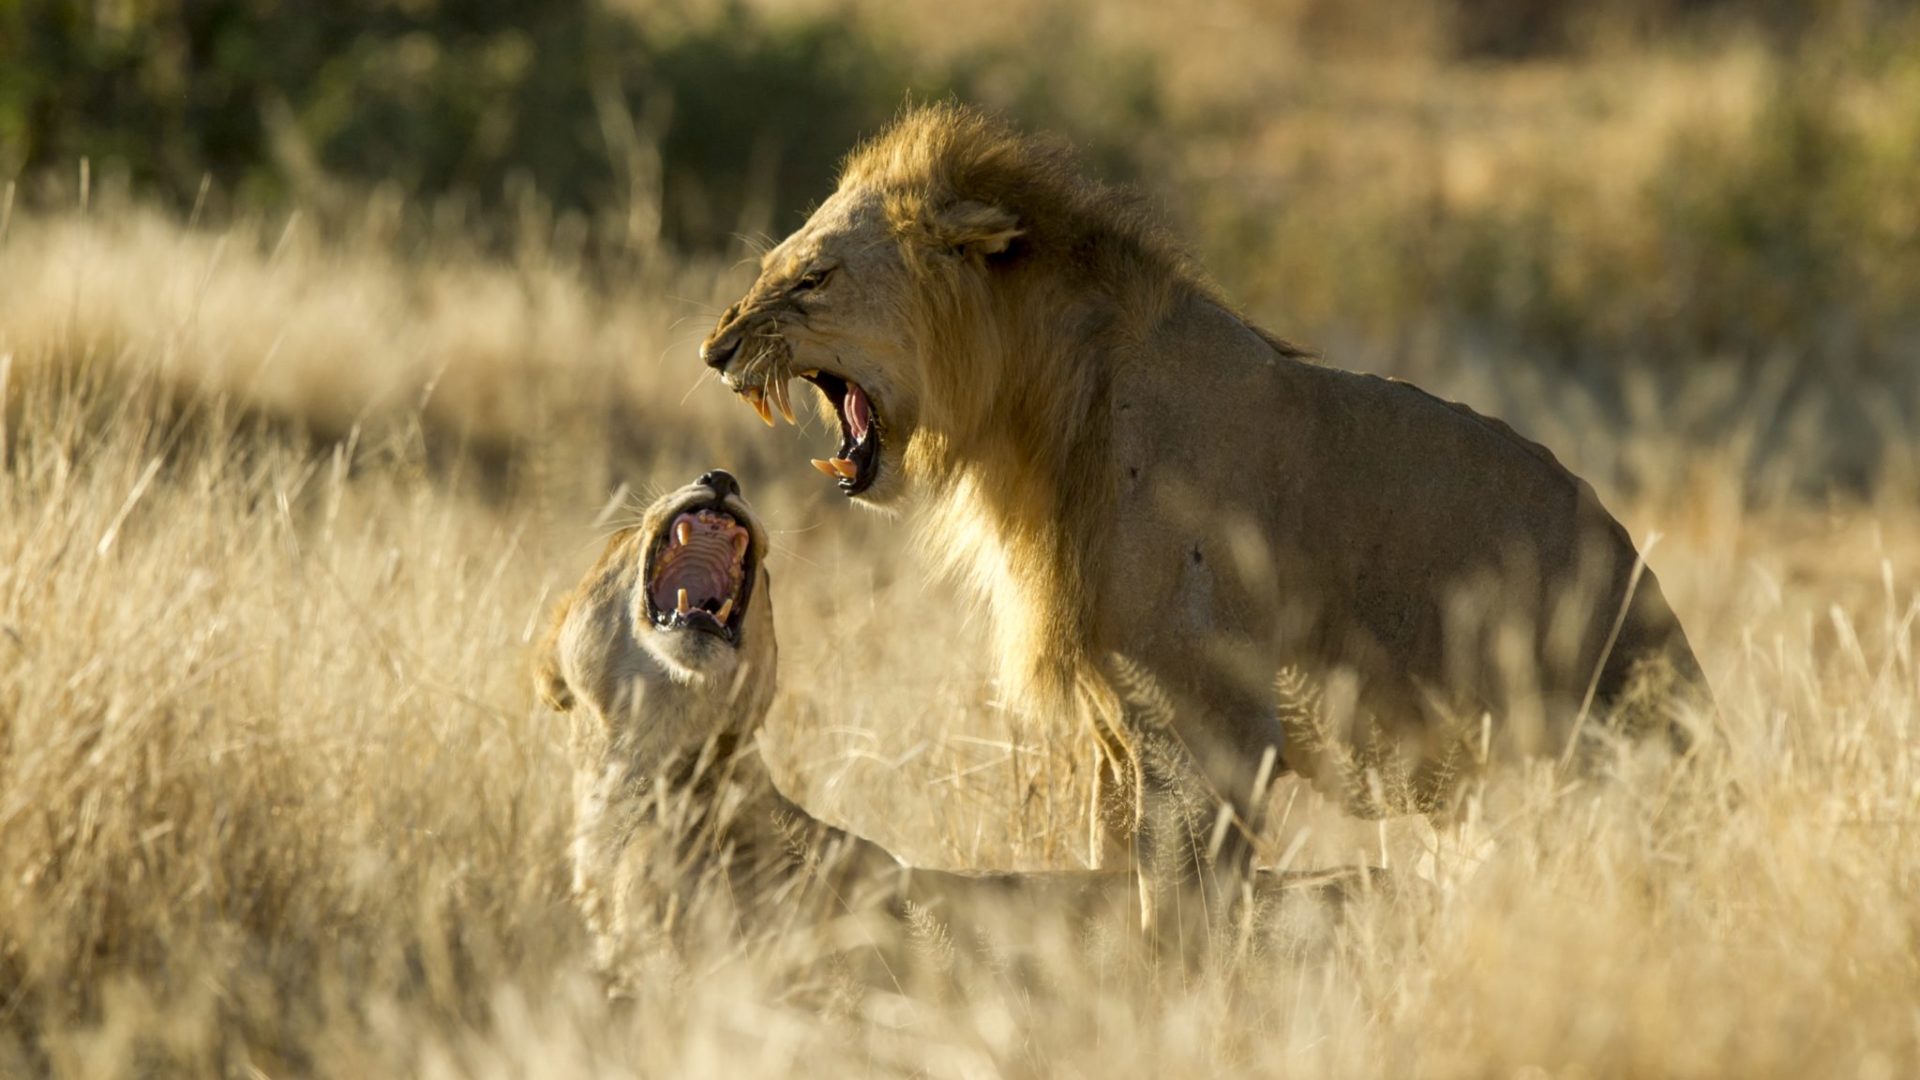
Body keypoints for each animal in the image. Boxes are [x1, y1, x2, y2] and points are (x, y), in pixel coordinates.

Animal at [697, 105, 1713, 924]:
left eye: (815, 278)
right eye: (771, 266)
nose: (715, 350)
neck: (1033, 422)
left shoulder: (1207, 729)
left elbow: (1179, 919)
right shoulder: (1118, 737)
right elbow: (1115, 882)